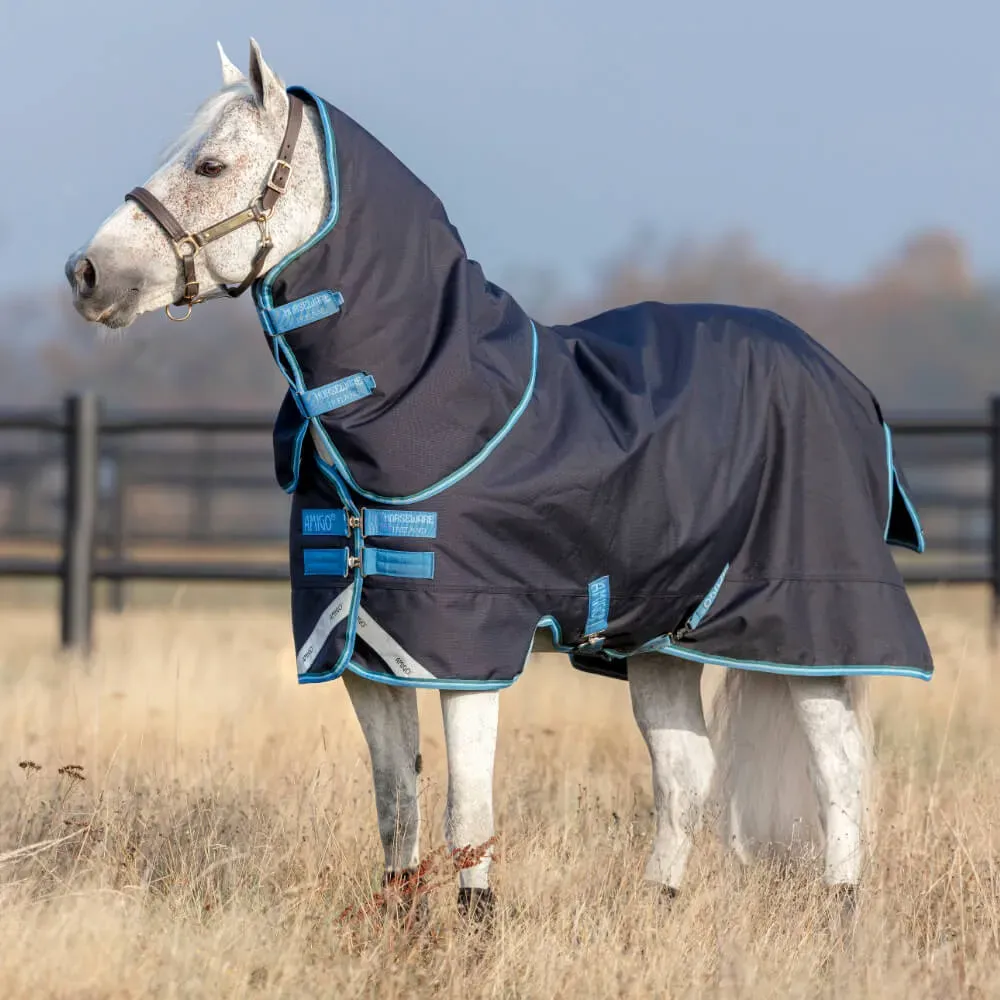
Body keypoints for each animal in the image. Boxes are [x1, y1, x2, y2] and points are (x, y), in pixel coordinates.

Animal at [65, 38, 933, 920]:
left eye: (210, 165)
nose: (88, 273)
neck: (433, 397)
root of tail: (840, 377)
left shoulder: (465, 650)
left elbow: (466, 811)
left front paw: (475, 926)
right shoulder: (365, 652)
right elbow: (395, 801)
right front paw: (402, 921)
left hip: (814, 629)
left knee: (839, 769)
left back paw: (841, 911)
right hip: (663, 639)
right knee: (685, 773)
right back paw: (659, 904)